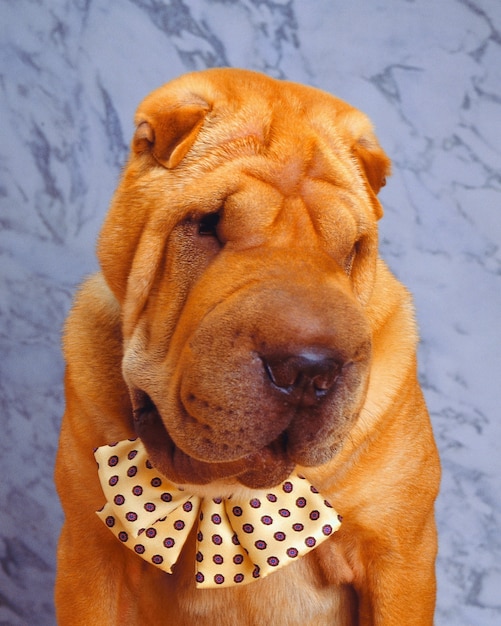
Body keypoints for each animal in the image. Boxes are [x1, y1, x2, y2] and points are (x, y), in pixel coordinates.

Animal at [53, 68, 438, 624]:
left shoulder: (399, 559)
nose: (307, 370)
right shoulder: (89, 553)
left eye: (350, 250)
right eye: (207, 225)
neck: (223, 491)